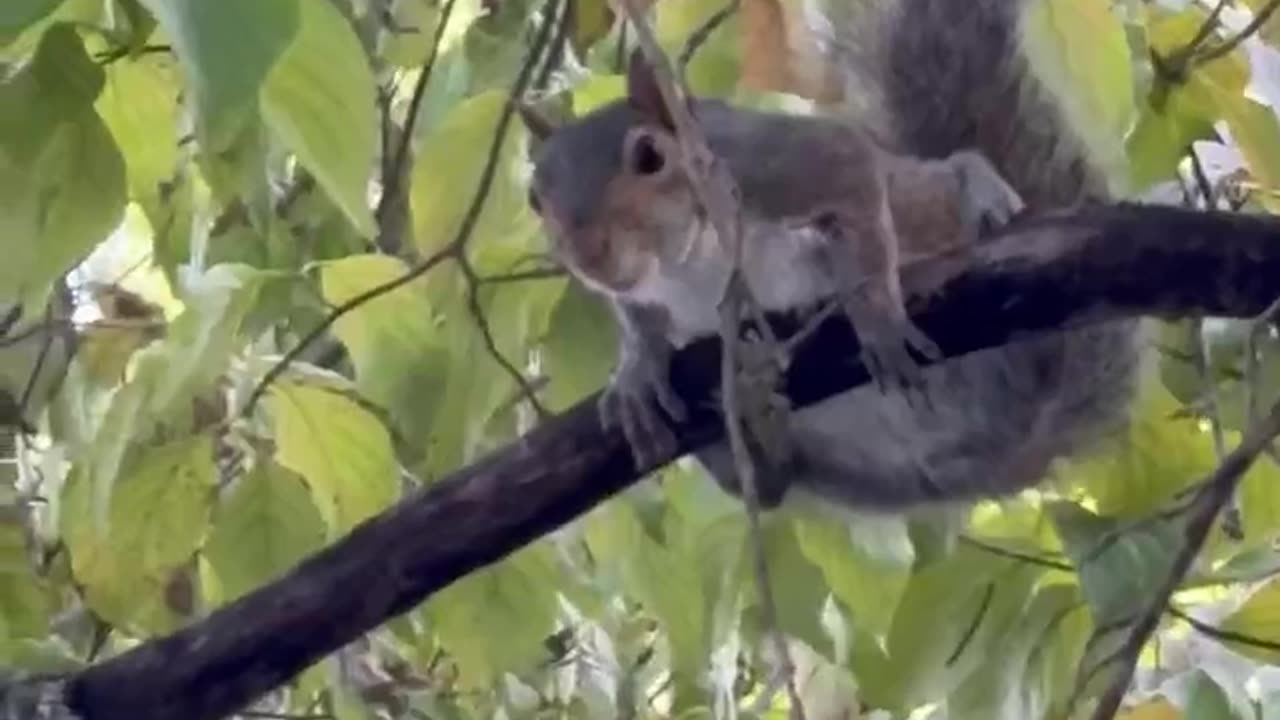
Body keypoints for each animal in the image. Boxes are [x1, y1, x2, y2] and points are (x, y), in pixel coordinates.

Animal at [519, 0, 1141, 509]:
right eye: (534, 196)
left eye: (650, 157)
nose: (590, 254)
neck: (682, 266)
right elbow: (637, 315)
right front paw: (637, 371)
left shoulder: (766, 162)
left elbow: (846, 165)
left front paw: (878, 318)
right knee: (771, 486)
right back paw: (748, 438)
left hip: (928, 219)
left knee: (941, 183)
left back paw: (985, 198)